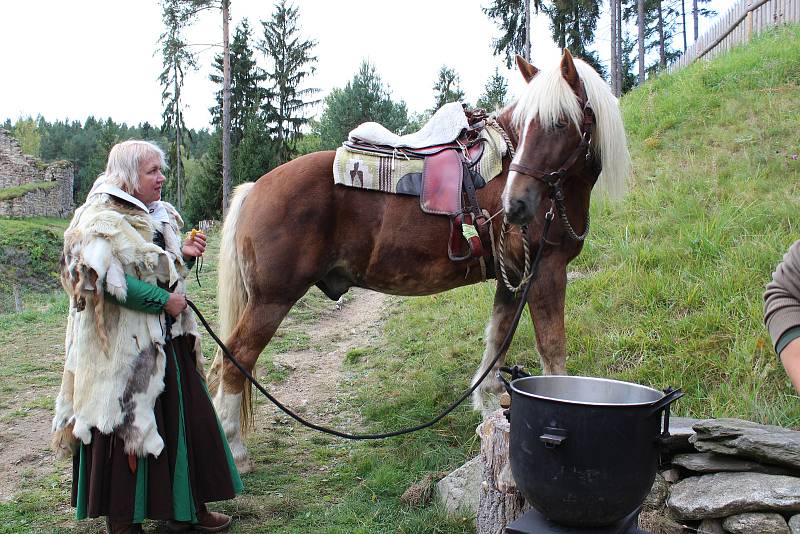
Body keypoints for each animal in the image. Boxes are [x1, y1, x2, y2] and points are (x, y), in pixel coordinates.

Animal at [206, 50, 632, 474]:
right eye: (529, 125)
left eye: (558, 123)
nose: (515, 205)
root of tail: (255, 188)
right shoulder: (546, 270)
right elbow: (552, 348)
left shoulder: (514, 275)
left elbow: (497, 339)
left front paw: (488, 405)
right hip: (271, 300)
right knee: (234, 358)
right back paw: (235, 450)